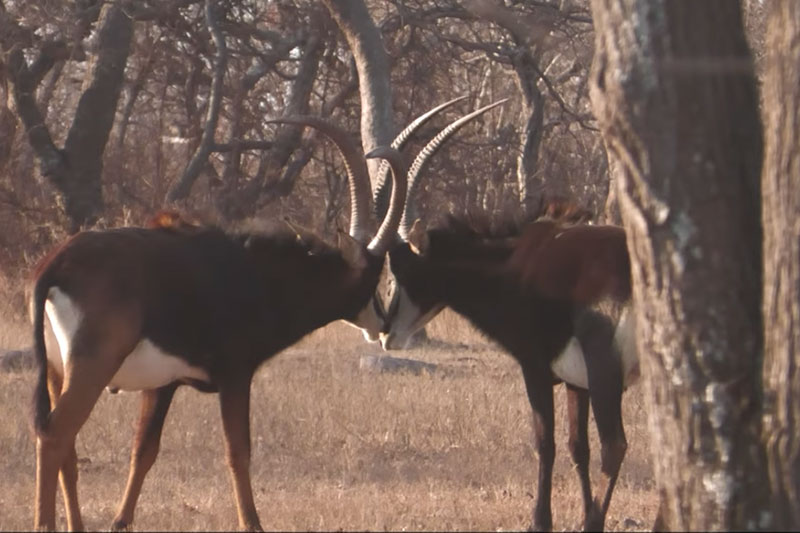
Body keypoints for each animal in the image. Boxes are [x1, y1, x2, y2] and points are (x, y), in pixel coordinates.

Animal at [28, 111, 416, 528]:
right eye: (372, 276)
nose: (384, 324)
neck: (260, 274)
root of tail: (55, 264)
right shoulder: (235, 376)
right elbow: (238, 451)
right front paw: (253, 523)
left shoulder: (163, 385)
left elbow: (144, 452)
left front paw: (120, 521)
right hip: (92, 367)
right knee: (55, 435)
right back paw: (44, 523)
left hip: (58, 371)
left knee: (66, 446)